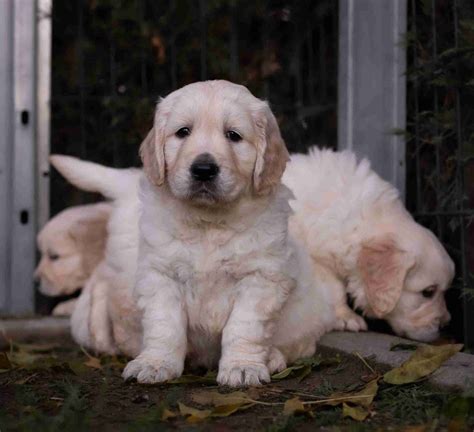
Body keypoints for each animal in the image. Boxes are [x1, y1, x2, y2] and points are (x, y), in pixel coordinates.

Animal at [124, 80, 336, 384]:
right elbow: (164, 325)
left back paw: (272, 358)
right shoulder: (160, 274)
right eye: (183, 132)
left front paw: (243, 367)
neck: (209, 223)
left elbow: (243, 327)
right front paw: (154, 363)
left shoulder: (260, 278)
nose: (203, 169)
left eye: (233, 135)